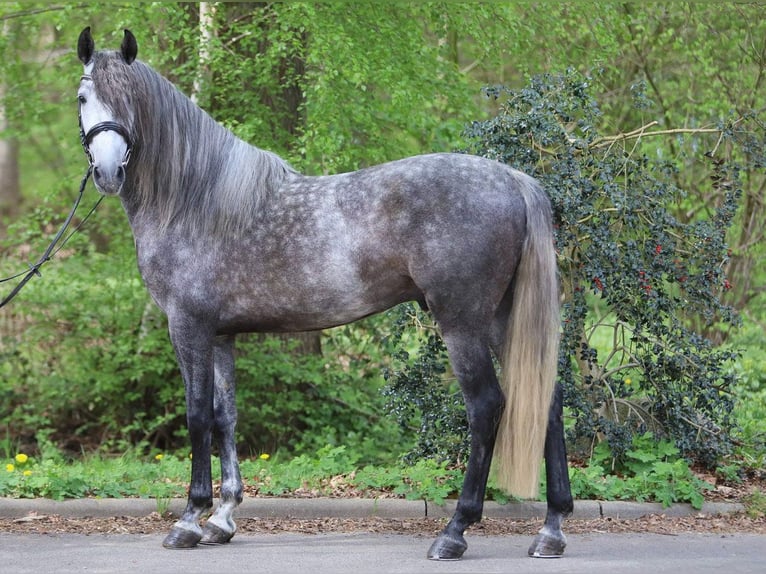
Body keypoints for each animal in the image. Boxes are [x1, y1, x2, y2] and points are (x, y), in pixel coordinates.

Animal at [75, 27, 573, 560]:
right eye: (84, 97)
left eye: (130, 99)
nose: (108, 173)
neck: (196, 201)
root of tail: (514, 180)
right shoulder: (221, 335)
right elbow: (225, 417)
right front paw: (223, 519)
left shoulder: (187, 327)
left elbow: (196, 417)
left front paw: (190, 519)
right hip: (501, 319)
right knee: (548, 398)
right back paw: (551, 530)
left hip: (462, 322)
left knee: (485, 406)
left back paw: (454, 531)